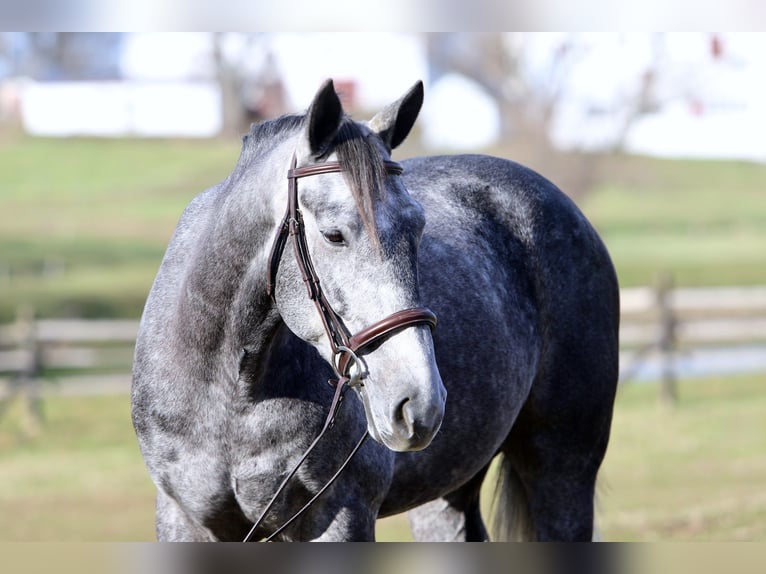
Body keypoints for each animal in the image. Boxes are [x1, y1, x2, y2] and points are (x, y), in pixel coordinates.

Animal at [131, 79, 620, 542]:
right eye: (333, 235)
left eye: (418, 228)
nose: (419, 403)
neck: (232, 392)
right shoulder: (185, 519)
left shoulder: (340, 515)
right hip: (444, 495)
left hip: (562, 471)